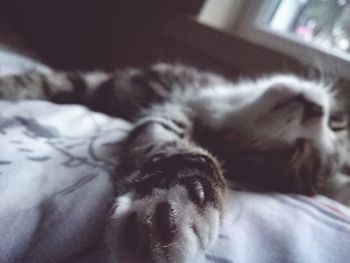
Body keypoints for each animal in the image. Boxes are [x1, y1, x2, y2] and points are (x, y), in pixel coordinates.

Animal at [0, 64, 348, 263]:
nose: (316, 109)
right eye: (336, 122)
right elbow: (43, 81)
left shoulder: (167, 119)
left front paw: (174, 211)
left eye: (297, 149)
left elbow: (186, 154)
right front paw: (11, 87)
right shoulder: (119, 85)